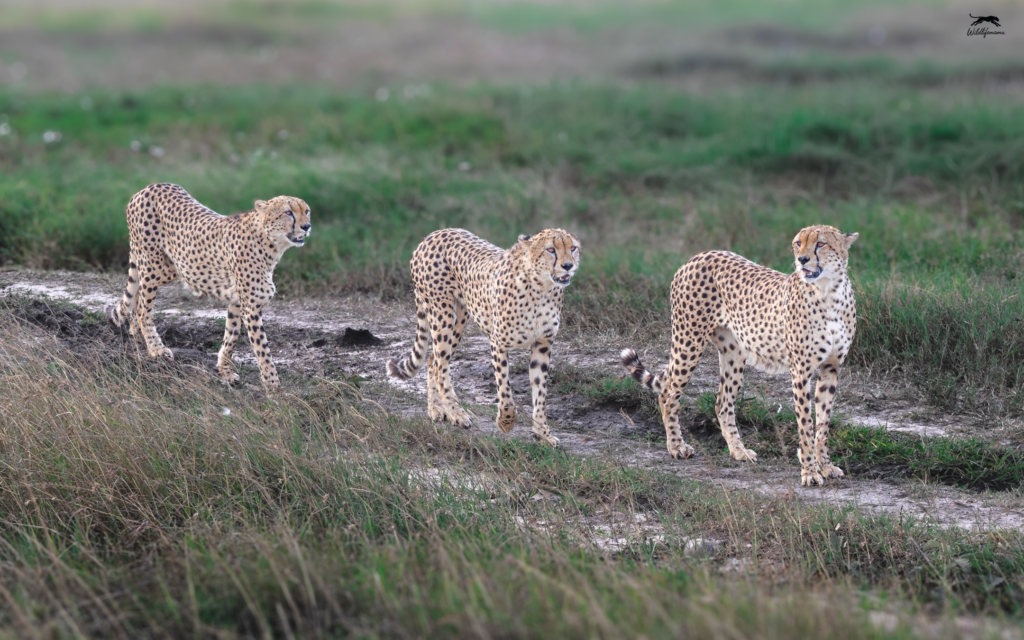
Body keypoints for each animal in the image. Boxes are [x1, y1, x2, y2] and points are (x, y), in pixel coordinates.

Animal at [105, 183, 311, 388]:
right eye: (288, 212)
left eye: (306, 211)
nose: (307, 226)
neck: (270, 243)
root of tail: (148, 187)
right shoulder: (251, 308)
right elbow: (262, 349)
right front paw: (273, 386)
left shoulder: (237, 302)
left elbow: (231, 335)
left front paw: (225, 371)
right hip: (156, 266)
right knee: (142, 307)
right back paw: (156, 348)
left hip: (170, 267)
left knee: (137, 297)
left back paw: (137, 336)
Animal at [386, 228, 580, 446]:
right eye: (551, 249)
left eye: (573, 248)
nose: (568, 265)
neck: (541, 287)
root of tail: (433, 234)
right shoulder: (498, 342)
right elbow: (504, 387)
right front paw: (506, 422)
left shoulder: (543, 344)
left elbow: (540, 392)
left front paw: (542, 433)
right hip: (442, 317)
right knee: (440, 367)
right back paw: (457, 414)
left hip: (459, 320)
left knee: (432, 361)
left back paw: (436, 409)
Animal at [621, 225, 858, 487]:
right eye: (798, 243)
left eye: (821, 244)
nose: (802, 259)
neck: (828, 293)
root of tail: (699, 256)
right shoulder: (801, 371)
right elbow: (805, 423)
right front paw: (810, 472)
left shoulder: (831, 368)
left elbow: (823, 423)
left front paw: (825, 466)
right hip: (688, 341)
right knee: (668, 393)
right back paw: (676, 447)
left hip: (733, 354)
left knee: (722, 403)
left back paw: (738, 450)